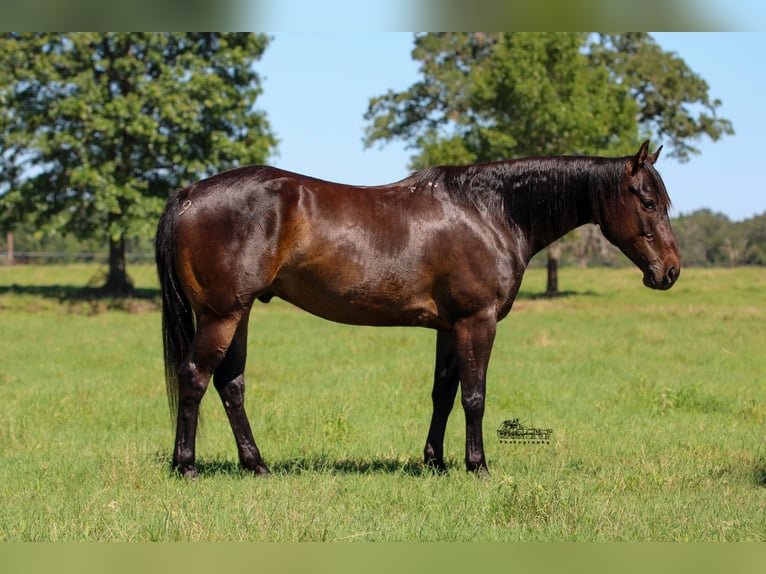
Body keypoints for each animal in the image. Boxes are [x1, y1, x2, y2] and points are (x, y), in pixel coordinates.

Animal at [154, 142, 680, 480]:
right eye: (648, 201)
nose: (670, 272)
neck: (489, 211)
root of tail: (188, 195)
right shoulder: (477, 321)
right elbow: (474, 396)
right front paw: (477, 466)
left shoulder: (450, 327)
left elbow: (443, 394)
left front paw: (436, 462)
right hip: (221, 314)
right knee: (196, 378)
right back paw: (188, 467)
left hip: (238, 314)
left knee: (231, 385)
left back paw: (257, 465)